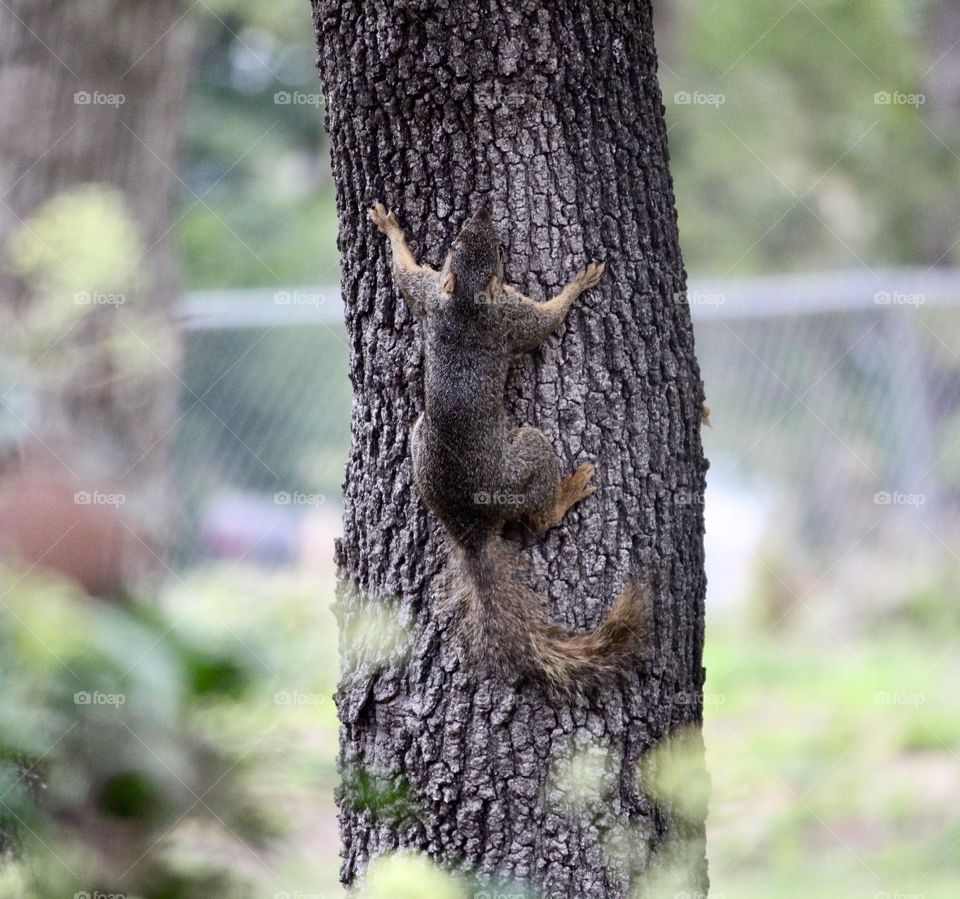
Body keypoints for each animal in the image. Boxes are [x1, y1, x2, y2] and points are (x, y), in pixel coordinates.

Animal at [372, 206, 648, 696]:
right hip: (527, 457)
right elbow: (545, 321)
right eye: (494, 253)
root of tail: (471, 527)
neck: (464, 302)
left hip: (418, 442)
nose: (483, 208)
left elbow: (406, 276)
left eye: (462, 239)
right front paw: (578, 284)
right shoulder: (510, 316)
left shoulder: (430, 297)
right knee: (539, 517)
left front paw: (389, 227)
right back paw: (567, 493)